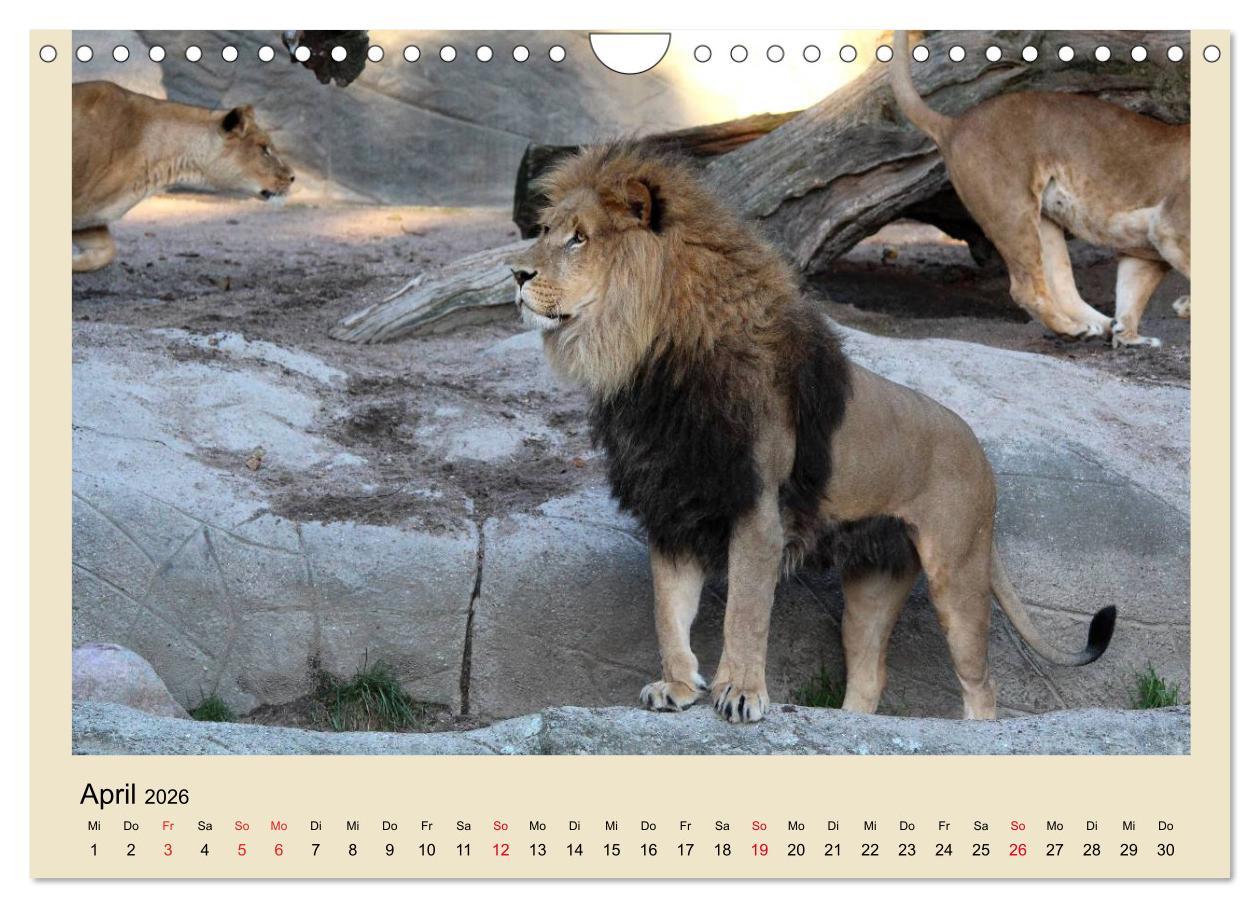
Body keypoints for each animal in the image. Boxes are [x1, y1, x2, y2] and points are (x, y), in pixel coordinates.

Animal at [509, 143, 1116, 722]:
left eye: (580, 239)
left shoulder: (758, 511)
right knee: (870, 676)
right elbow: (668, 611)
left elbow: (745, 613)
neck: (651, 360)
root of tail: (980, 452)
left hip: (957, 568)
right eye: (545, 231)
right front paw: (677, 687)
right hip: (873, 581)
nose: (515, 275)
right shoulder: (674, 508)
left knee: (981, 683)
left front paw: (740, 694)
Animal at [891, 32, 1190, 348]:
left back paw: (1100, 325)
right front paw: (1185, 307)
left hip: (1043, 223)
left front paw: (1130, 337)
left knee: (1062, 287)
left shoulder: (1148, 250)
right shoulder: (1171, 230)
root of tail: (954, 124)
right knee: (1025, 289)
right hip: (1012, 210)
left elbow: (1132, 295)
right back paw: (1074, 329)